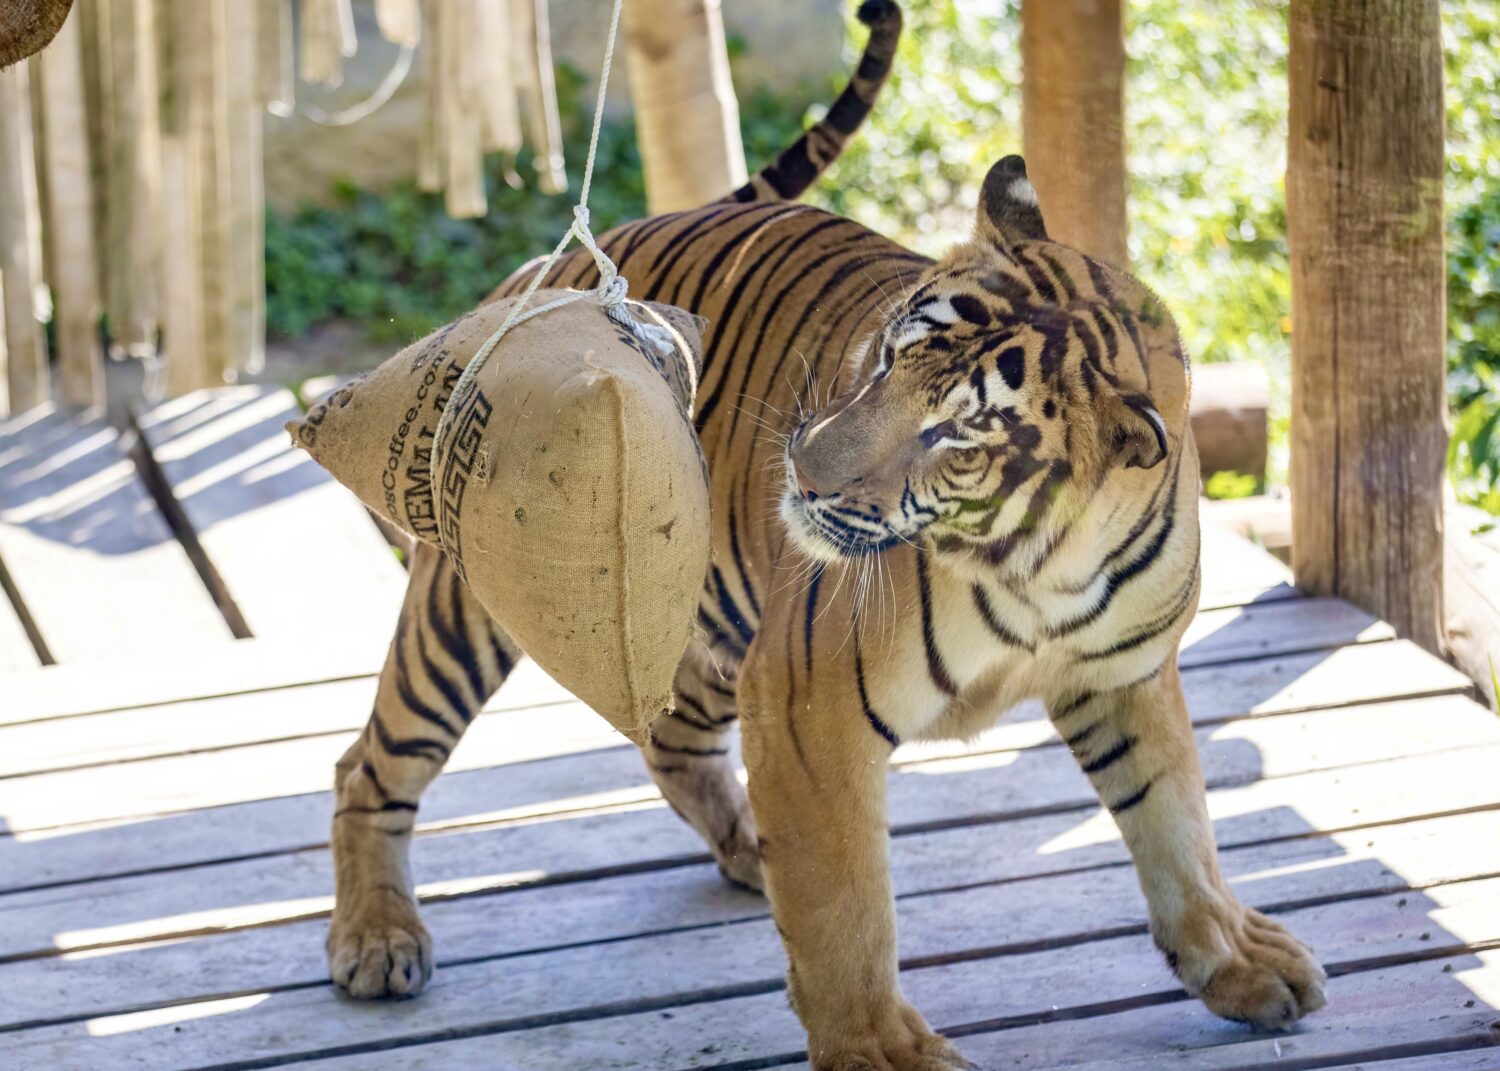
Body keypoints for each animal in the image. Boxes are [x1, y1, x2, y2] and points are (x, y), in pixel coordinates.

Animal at [326, 2, 1327, 1066]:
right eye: (887, 357)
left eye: (957, 436)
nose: (802, 472)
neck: (1045, 565)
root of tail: (592, 253)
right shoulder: (810, 707)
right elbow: (847, 904)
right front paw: (880, 1049)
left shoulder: (1122, 677)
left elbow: (1176, 820)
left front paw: (1238, 959)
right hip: (469, 614)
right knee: (372, 761)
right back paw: (377, 938)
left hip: (712, 614)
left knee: (672, 737)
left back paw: (744, 851)